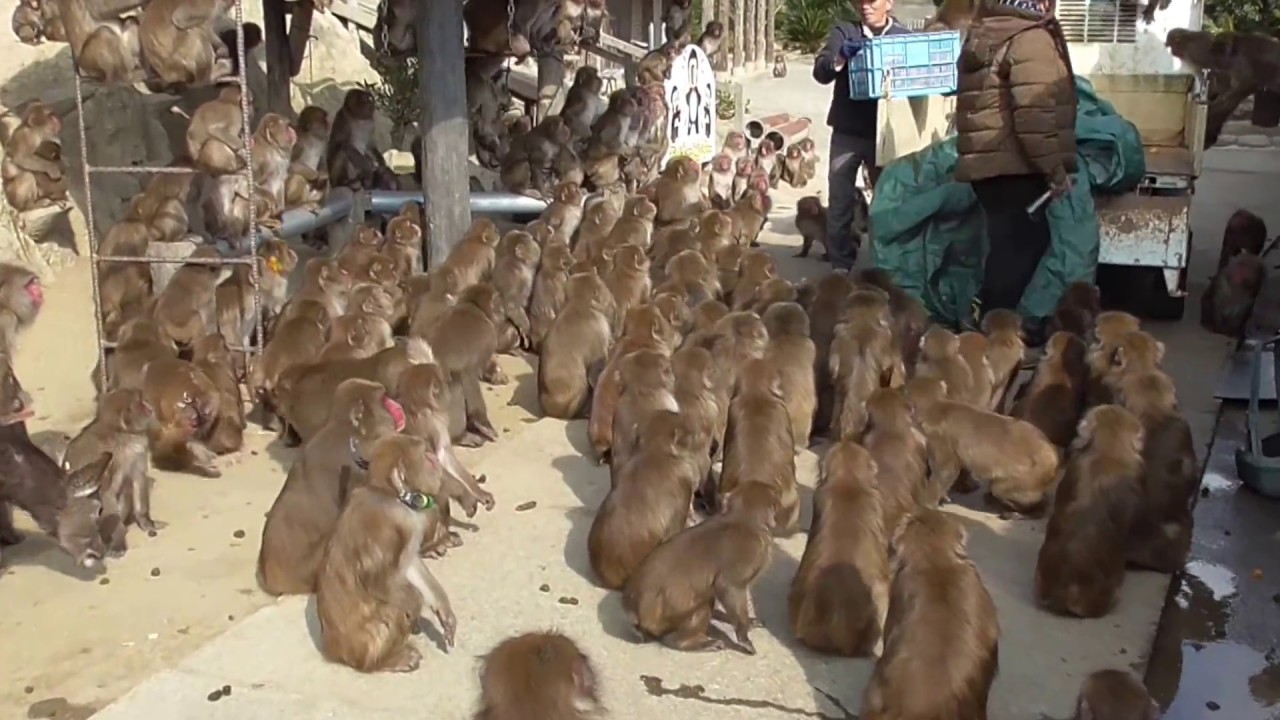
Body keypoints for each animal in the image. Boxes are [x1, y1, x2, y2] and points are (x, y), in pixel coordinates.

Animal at [63, 387, 158, 557]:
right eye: (140, 401)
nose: (150, 407)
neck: (121, 434)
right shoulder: (111, 457)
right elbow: (106, 492)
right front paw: (117, 540)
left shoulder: (137, 450)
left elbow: (138, 478)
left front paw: (145, 520)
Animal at [315, 434, 457, 672]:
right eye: (427, 457)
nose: (438, 465)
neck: (389, 494)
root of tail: (335, 653)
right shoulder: (391, 523)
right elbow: (376, 581)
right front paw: (416, 603)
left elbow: (409, 565)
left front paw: (443, 609)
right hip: (367, 648)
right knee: (395, 608)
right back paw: (387, 660)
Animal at [540, 273, 616, 419]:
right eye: (605, 288)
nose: (612, 300)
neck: (578, 302)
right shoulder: (599, 327)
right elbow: (595, 369)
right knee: (583, 384)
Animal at [622, 481, 776, 654]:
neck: (741, 518)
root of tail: (632, 611)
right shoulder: (750, 551)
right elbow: (728, 586)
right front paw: (744, 637)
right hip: (661, 620)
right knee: (704, 602)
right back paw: (686, 642)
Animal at [906, 377, 1060, 513]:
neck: (938, 406)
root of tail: (1052, 454)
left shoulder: (938, 437)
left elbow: (947, 470)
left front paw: (927, 504)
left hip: (1031, 475)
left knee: (1000, 489)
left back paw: (1032, 509)